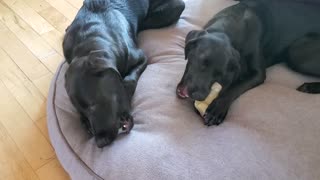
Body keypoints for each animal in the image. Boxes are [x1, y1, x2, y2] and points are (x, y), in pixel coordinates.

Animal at [63, 0, 185, 147]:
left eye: (93, 104)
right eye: (82, 112)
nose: (100, 143)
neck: (88, 44)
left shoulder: (141, 57)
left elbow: (129, 80)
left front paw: (126, 90)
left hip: (174, 9)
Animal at [176, 0, 320, 126]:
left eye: (220, 74)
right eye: (201, 62)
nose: (199, 96)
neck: (230, 26)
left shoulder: (258, 74)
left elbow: (235, 87)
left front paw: (217, 108)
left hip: (296, 52)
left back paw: (310, 87)